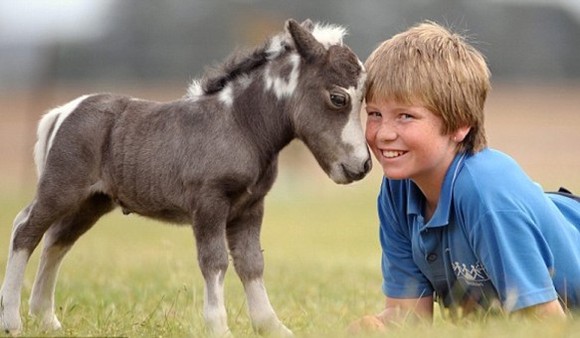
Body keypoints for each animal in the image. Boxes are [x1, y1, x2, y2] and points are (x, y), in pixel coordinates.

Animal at [0, 19, 372, 336]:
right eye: (338, 98)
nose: (362, 166)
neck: (240, 125)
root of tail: (64, 111)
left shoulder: (251, 207)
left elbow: (252, 263)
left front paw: (271, 326)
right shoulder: (209, 203)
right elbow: (215, 262)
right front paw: (219, 327)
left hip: (93, 202)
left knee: (57, 241)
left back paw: (47, 319)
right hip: (61, 189)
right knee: (25, 230)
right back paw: (13, 320)